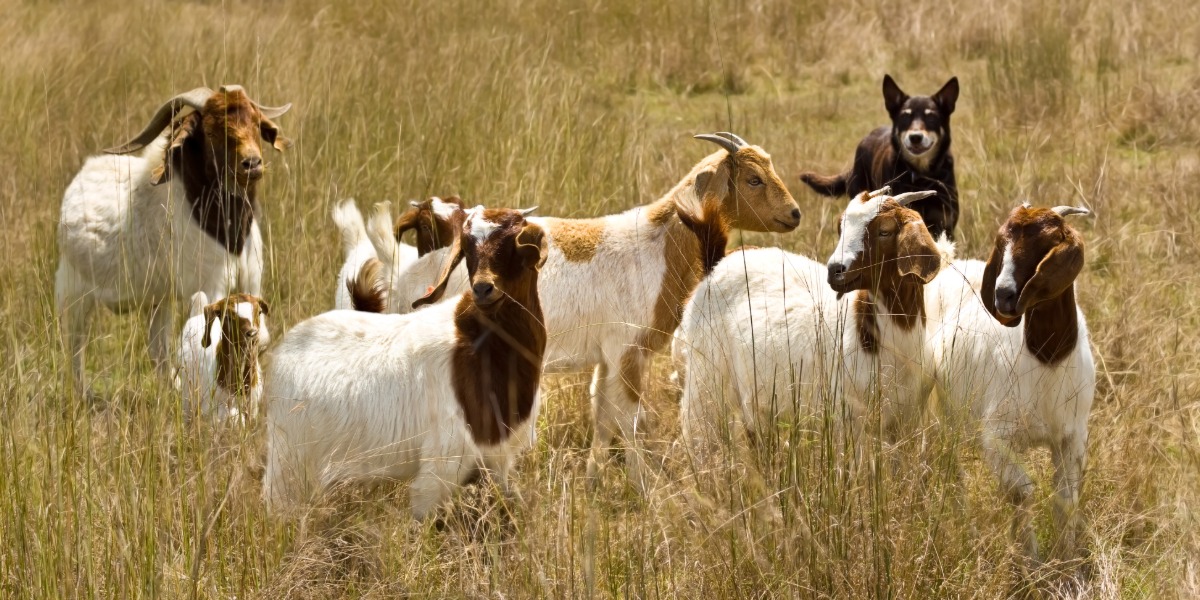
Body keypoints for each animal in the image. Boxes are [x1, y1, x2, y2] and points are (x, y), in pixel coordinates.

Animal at [56, 85, 290, 395]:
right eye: (212, 130)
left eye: (255, 122)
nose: (252, 164)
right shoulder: (210, 286)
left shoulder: (251, 280)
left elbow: (259, 335)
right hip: (74, 292)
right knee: (75, 346)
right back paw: (85, 396)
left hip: (159, 299)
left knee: (157, 348)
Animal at [178, 292, 269, 424]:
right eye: (228, 317)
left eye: (259, 312)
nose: (252, 334)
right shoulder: (215, 412)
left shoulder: (251, 408)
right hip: (187, 393)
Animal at [263, 206, 548, 519]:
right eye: (468, 249)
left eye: (514, 242)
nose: (484, 289)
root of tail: (284, 349)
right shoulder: (441, 464)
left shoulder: (497, 461)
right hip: (289, 460)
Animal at [679, 188, 942, 458]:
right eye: (840, 226)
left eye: (885, 231)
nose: (835, 270)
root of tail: (717, 262)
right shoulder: (846, 417)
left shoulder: (904, 421)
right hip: (705, 372)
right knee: (699, 427)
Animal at [924, 203, 1094, 566]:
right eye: (1002, 244)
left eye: (1047, 243)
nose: (1003, 295)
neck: (1046, 358)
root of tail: (948, 264)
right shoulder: (997, 438)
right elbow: (1022, 492)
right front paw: (1030, 560)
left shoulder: (1072, 436)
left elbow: (1065, 497)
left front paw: (1067, 559)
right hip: (940, 412)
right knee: (952, 470)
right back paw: (966, 529)